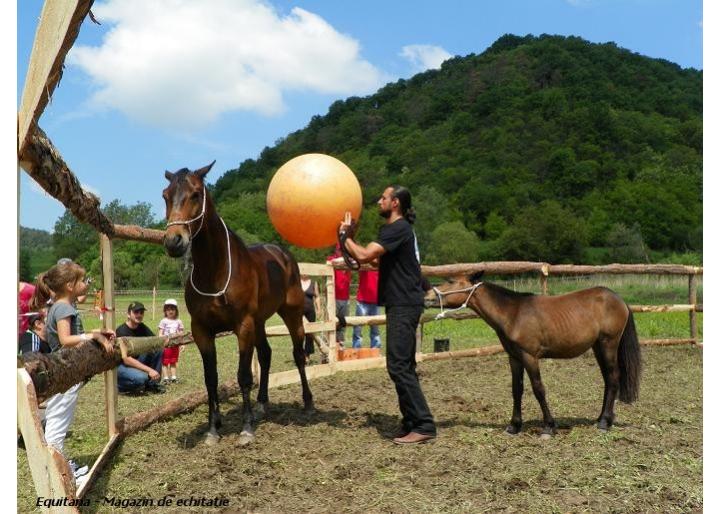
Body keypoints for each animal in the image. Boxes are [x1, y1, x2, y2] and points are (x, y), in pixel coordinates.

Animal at [162, 161, 310, 444]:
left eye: (196, 194)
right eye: (165, 195)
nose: (174, 241)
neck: (215, 273)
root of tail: (283, 255)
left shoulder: (243, 326)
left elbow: (243, 376)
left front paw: (246, 428)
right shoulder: (202, 330)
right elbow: (211, 378)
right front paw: (212, 429)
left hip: (291, 314)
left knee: (298, 354)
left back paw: (308, 403)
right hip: (260, 323)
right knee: (266, 355)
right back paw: (262, 405)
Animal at [422, 272, 640, 436]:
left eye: (451, 281)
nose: (427, 297)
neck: (513, 313)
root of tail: (618, 299)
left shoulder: (530, 356)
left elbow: (538, 389)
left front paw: (548, 427)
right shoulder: (514, 357)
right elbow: (516, 389)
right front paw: (514, 426)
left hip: (608, 344)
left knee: (613, 378)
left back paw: (603, 423)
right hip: (597, 347)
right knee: (608, 380)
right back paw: (603, 418)